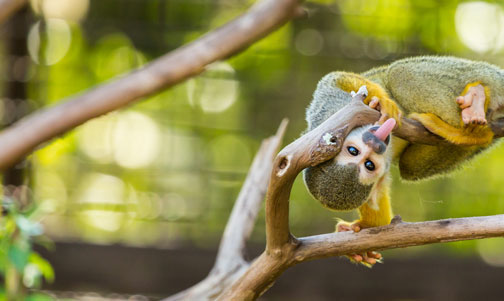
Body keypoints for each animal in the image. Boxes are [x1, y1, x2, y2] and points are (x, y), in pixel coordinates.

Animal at [302, 55, 502, 264]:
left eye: (353, 151)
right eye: (369, 165)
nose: (376, 143)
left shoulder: (333, 116)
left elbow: (335, 80)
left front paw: (382, 102)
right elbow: (378, 202)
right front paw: (364, 229)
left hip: (464, 72)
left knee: (399, 73)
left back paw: (476, 103)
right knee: (410, 167)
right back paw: (477, 133)